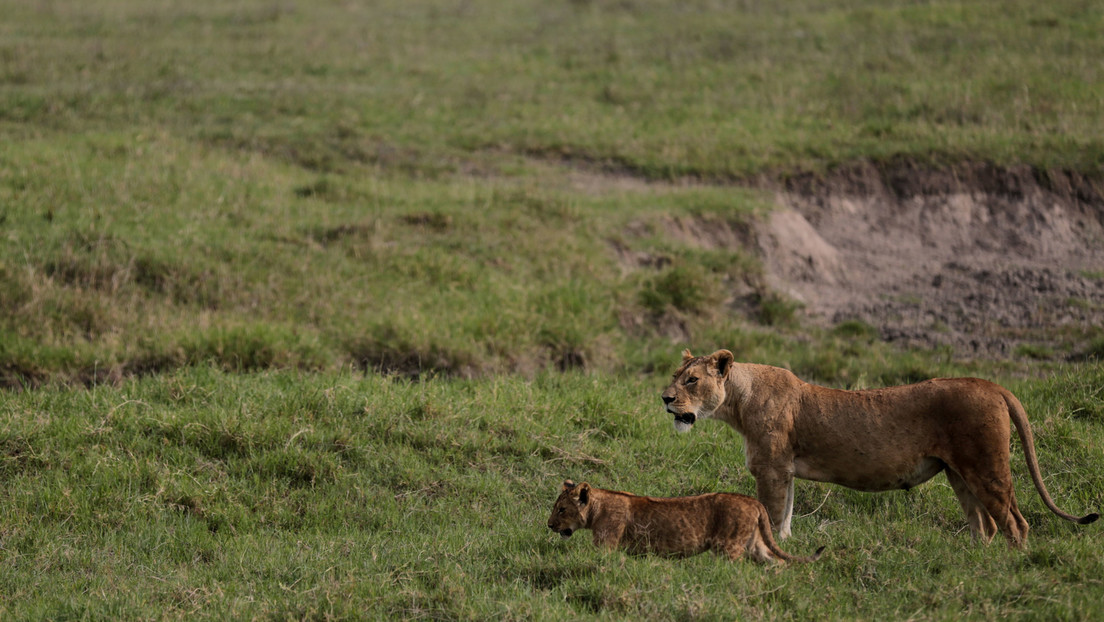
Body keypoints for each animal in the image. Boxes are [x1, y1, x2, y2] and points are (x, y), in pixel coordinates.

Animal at [546, 480, 824, 563]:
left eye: (561, 509)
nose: (549, 525)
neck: (598, 507)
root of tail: (753, 501)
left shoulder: (605, 545)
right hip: (755, 543)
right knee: (777, 561)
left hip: (728, 546)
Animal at [661, 349, 1099, 548]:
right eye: (675, 375)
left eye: (692, 380)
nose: (664, 398)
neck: (738, 401)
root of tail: (992, 384)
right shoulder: (784, 470)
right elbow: (784, 514)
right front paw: (785, 547)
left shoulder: (770, 468)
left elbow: (769, 513)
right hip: (960, 474)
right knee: (985, 525)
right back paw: (975, 561)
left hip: (987, 467)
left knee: (1015, 523)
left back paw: (1009, 565)